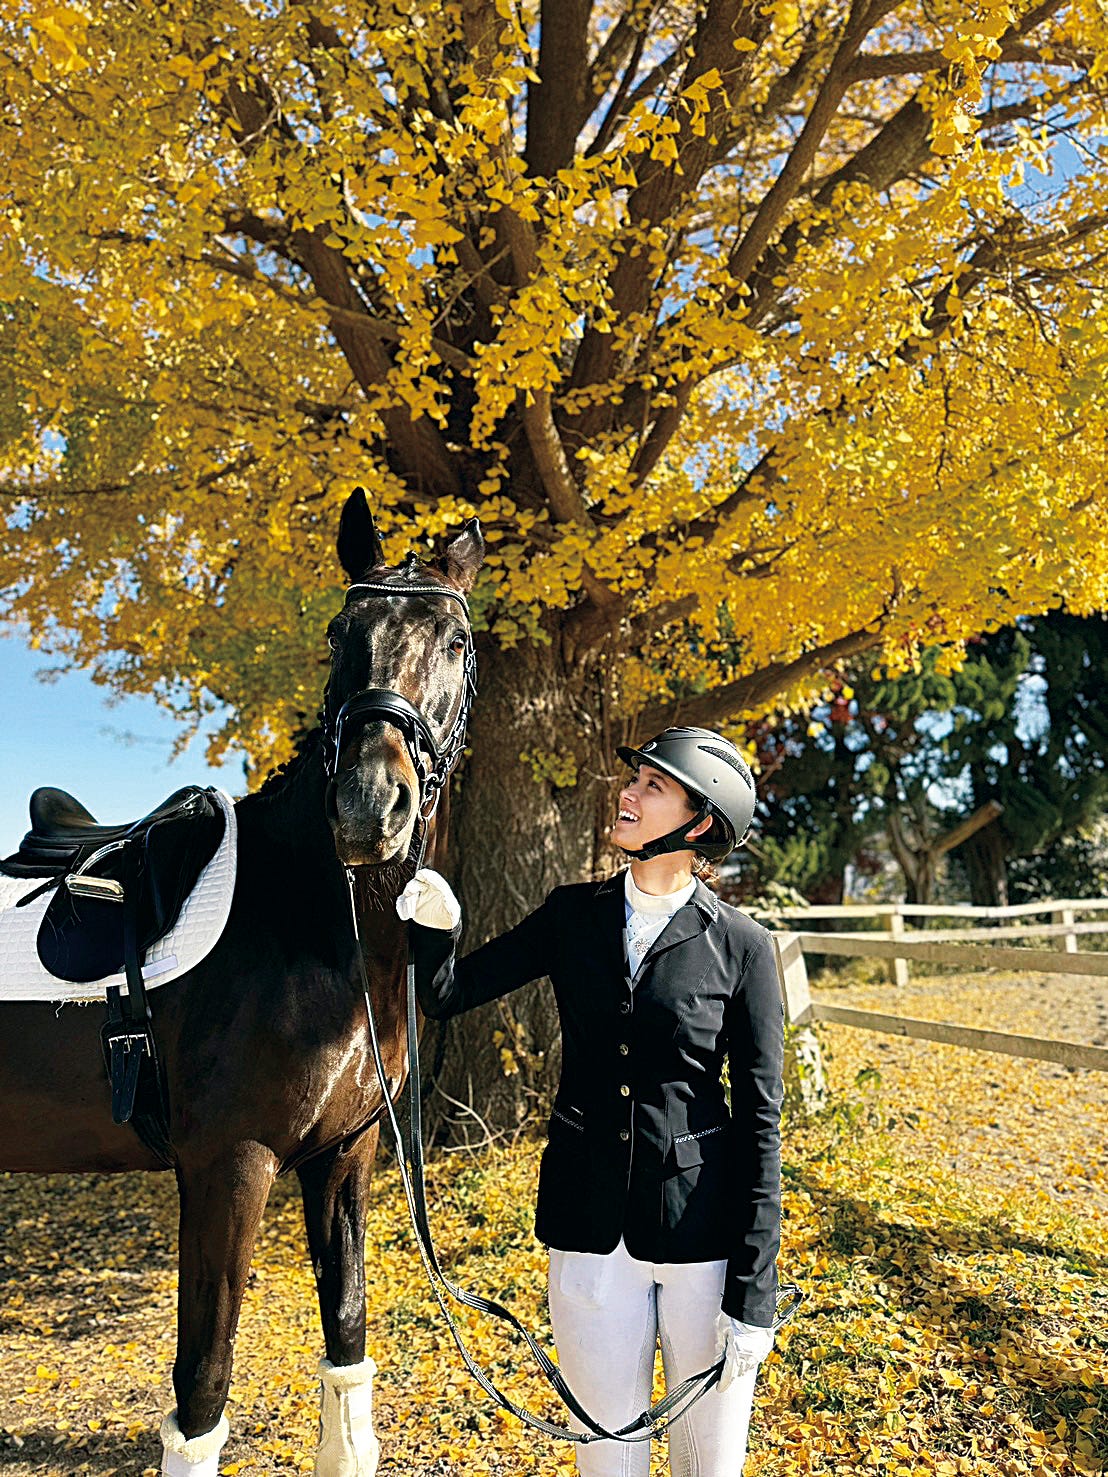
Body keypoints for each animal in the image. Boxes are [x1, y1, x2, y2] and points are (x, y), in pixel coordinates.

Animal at [0, 488, 485, 1477]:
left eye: (455, 642)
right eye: (339, 632)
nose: (368, 811)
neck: (311, 929)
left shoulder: (345, 1157)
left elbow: (347, 1334)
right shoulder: (231, 1165)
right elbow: (203, 1383)